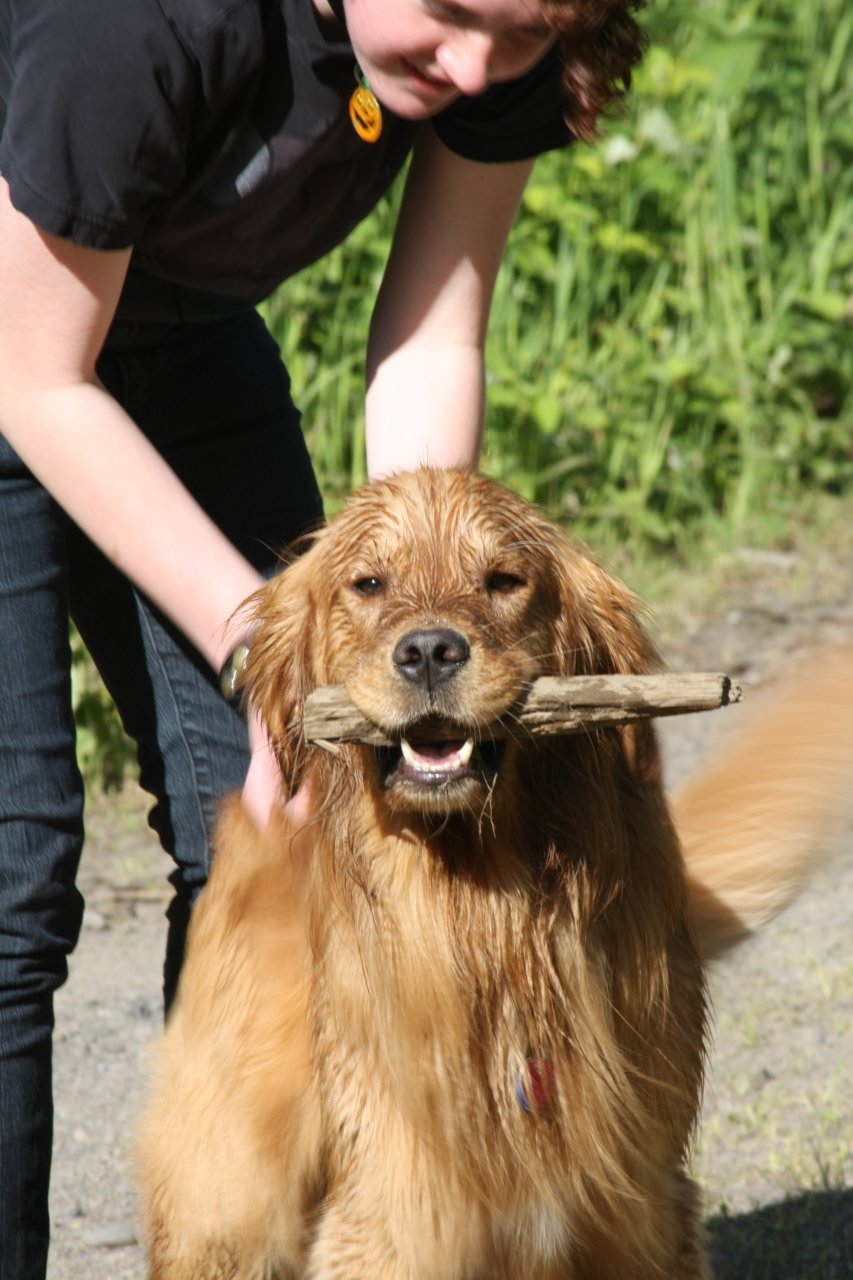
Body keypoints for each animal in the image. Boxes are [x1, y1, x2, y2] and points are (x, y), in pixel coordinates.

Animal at [137, 471, 845, 1280]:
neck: (490, 922)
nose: (429, 651)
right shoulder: (394, 1212)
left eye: (504, 580)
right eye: (368, 583)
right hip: (229, 1195)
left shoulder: (642, 1207)